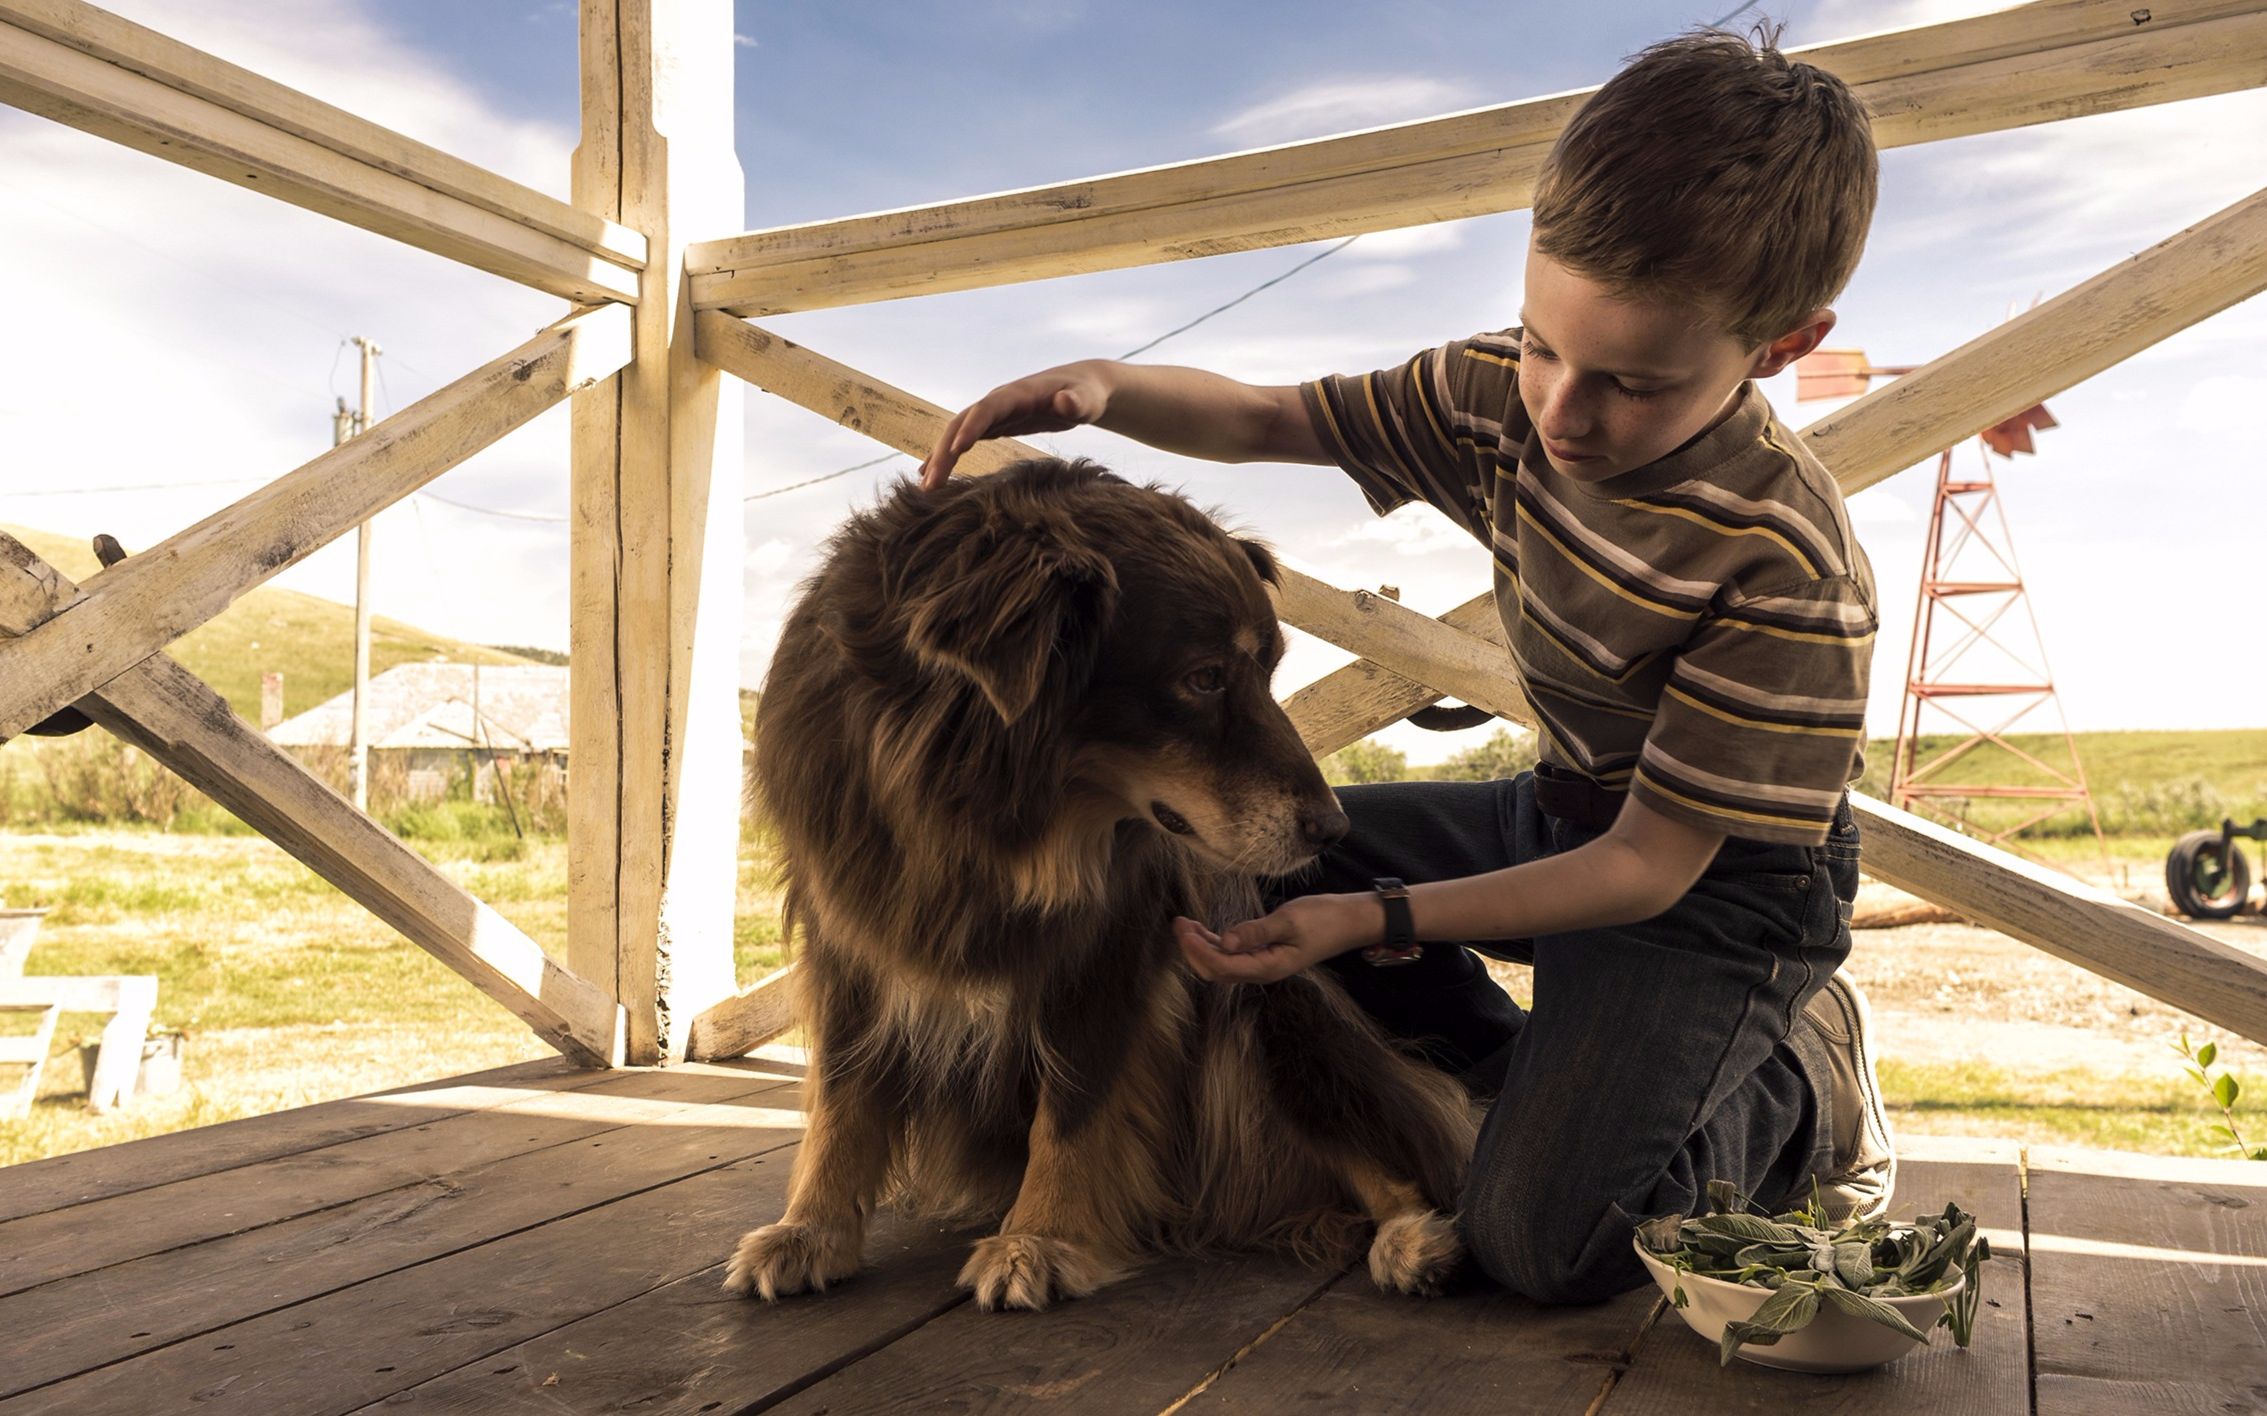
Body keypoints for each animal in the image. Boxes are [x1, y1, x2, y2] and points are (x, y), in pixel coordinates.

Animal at [720, 457, 1469, 1304]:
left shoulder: (1114, 951)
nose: (1332, 829)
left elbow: (1075, 1103)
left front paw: (1039, 1237)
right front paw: (811, 1229)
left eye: (1269, 671)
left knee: (1386, 1149)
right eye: (1205, 678)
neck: (980, 809)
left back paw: (1412, 1237)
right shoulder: (849, 937)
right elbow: (843, 1098)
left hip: (1274, 1015)